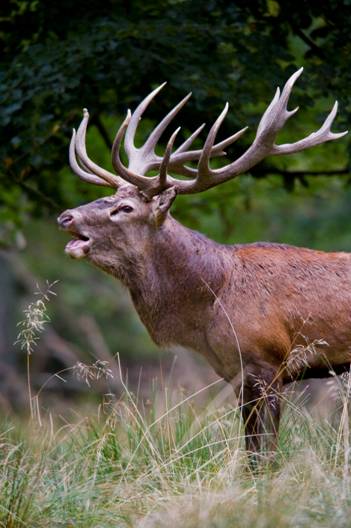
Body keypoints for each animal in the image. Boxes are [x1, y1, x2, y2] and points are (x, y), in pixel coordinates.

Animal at [57, 69, 350, 458]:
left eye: (125, 208)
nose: (66, 216)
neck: (212, 300)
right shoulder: (237, 375)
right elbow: (250, 451)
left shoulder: (269, 363)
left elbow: (267, 453)